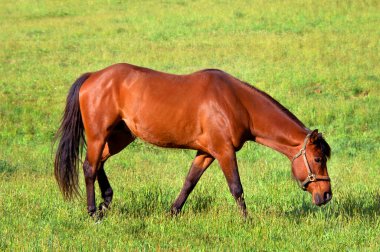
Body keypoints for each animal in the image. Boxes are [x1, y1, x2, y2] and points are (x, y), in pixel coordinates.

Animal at [54, 62, 332, 217]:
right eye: (318, 159)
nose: (326, 195)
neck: (236, 102)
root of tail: (93, 76)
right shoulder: (224, 152)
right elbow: (237, 188)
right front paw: (247, 221)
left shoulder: (206, 153)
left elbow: (189, 182)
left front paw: (173, 212)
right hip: (99, 135)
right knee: (89, 167)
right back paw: (93, 212)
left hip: (120, 136)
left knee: (99, 163)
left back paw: (106, 201)